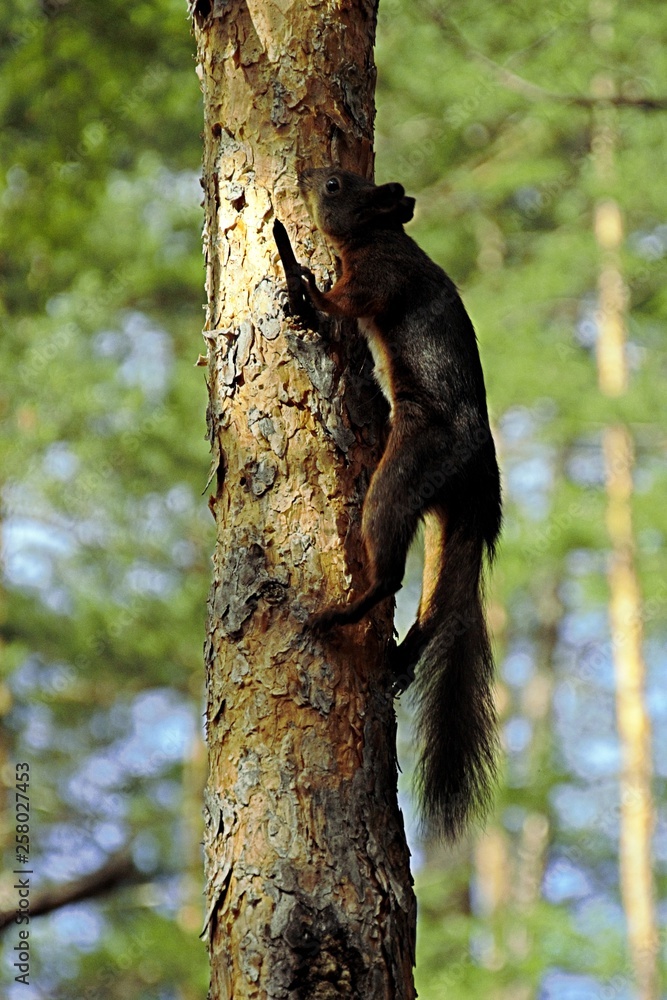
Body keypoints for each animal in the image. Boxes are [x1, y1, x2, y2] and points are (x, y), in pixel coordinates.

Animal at [281, 167, 502, 841]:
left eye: (333, 184)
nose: (303, 175)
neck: (380, 236)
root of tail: (479, 484)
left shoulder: (380, 276)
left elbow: (345, 305)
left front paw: (305, 286)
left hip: (406, 470)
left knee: (392, 573)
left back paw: (339, 615)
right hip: (443, 518)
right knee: (437, 602)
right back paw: (404, 656)